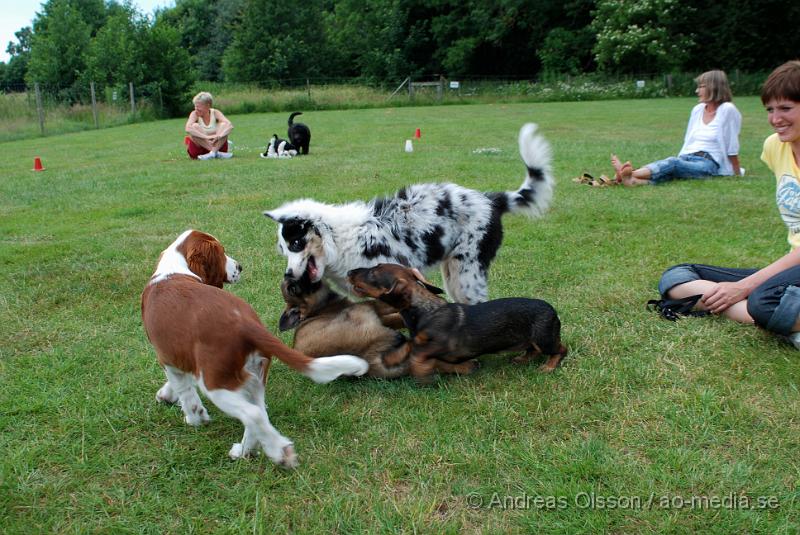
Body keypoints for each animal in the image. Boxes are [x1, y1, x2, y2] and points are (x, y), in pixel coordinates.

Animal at [346, 262, 564, 382]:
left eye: (373, 273)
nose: (349, 272)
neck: (426, 311)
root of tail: (552, 309)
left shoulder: (443, 344)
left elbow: (418, 351)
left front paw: (421, 371)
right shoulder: (420, 338)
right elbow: (411, 343)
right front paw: (392, 357)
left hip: (544, 339)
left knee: (561, 350)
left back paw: (549, 367)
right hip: (532, 340)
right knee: (533, 350)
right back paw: (522, 359)